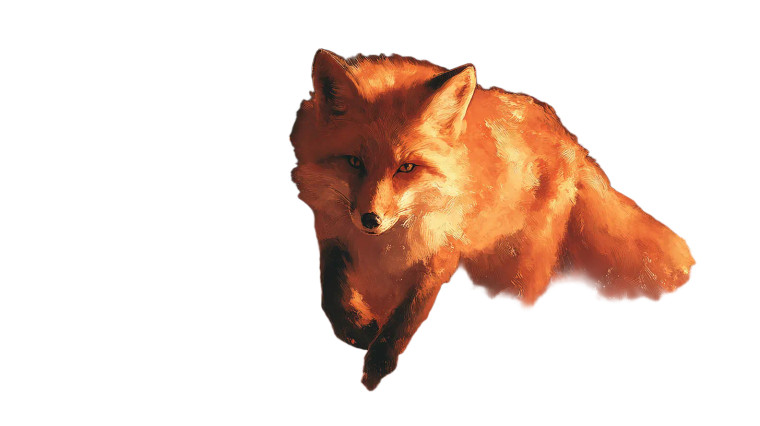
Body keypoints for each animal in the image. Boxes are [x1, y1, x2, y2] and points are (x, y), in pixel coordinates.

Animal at [290, 49, 695, 390]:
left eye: (406, 167)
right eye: (353, 162)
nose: (370, 218)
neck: (384, 244)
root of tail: (571, 141)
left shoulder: (440, 251)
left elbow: (406, 316)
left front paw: (378, 365)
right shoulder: (332, 233)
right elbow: (332, 292)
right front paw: (356, 329)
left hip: (517, 274)